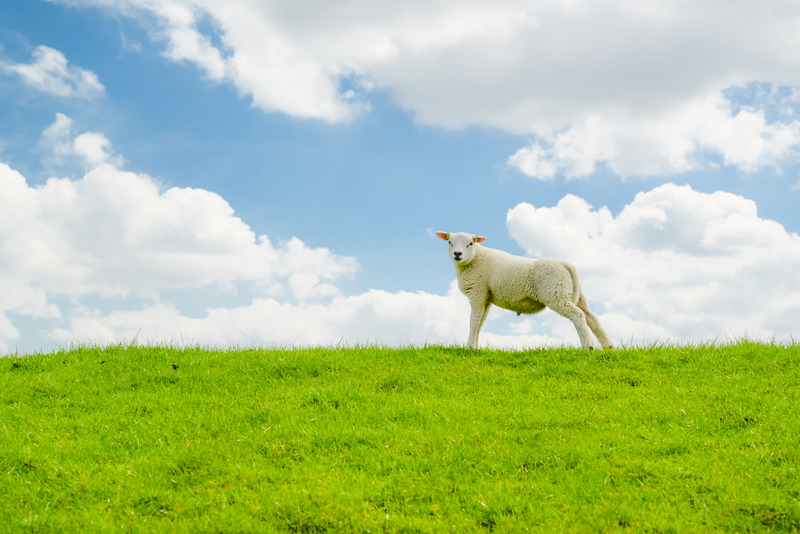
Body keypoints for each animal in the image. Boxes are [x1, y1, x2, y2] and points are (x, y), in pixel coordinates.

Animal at [438, 231, 612, 352]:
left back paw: (588, 347)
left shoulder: (477, 291)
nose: (458, 254)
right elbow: (480, 321)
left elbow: (473, 320)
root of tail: (565, 264)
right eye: (449, 242)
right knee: (592, 318)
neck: (475, 260)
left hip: (556, 293)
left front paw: (469, 347)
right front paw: (475, 346)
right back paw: (609, 347)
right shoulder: (485, 296)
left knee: (578, 315)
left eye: (470, 244)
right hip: (573, 294)